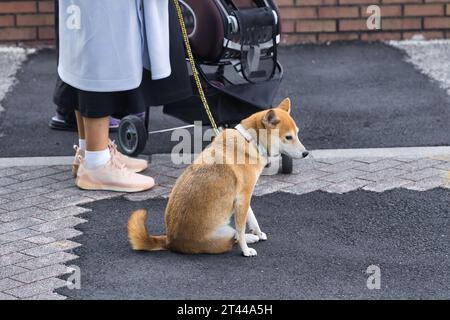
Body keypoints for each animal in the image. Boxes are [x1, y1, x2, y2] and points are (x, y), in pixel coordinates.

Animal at [128, 98, 308, 258]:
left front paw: (257, 232)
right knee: (233, 237)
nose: (306, 153)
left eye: (298, 134)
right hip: (224, 231)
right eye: (288, 137)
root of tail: (170, 241)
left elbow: (252, 218)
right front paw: (245, 250)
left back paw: (252, 237)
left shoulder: (244, 197)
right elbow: (241, 229)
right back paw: (247, 240)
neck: (250, 141)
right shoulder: (243, 198)